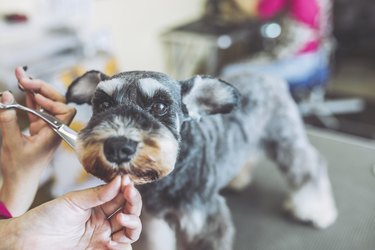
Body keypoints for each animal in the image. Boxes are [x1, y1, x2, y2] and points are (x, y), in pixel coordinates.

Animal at [65, 70, 338, 250]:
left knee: (310, 167)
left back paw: (316, 210)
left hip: (285, 140)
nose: (118, 147)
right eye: (103, 104)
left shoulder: (206, 223)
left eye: (160, 106)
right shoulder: (153, 219)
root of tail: (269, 74)